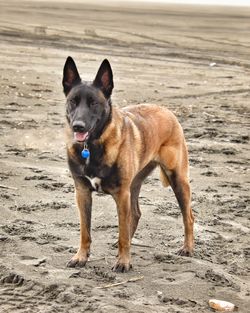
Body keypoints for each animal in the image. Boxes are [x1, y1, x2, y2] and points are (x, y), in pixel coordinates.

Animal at [63, 57, 195, 272]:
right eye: (73, 101)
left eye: (94, 103)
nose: (78, 126)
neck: (92, 145)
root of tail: (168, 111)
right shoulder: (82, 193)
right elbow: (85, 231)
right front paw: (81, 257)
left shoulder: (121, 194)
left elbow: (122, 232)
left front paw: (124, 261)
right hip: (134, 185)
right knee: (136, 214)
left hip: (177, 180)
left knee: (188, 217)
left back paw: (187, 248)